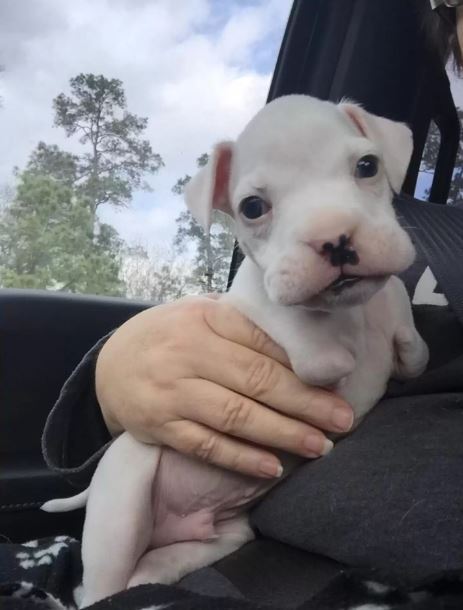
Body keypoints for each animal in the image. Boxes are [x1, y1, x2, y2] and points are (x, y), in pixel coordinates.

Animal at [41, 94, 430, 604]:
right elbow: (300, 332)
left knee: (148, 570)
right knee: (96, 588)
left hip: (216, 539)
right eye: (252, 207)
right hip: (124, 503)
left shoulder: (389, 305)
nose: (335, 239)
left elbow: (408, 336)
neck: (350, 313)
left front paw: (403, 344)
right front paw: (332, 351)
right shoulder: (255, 303)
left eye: (368, 165)